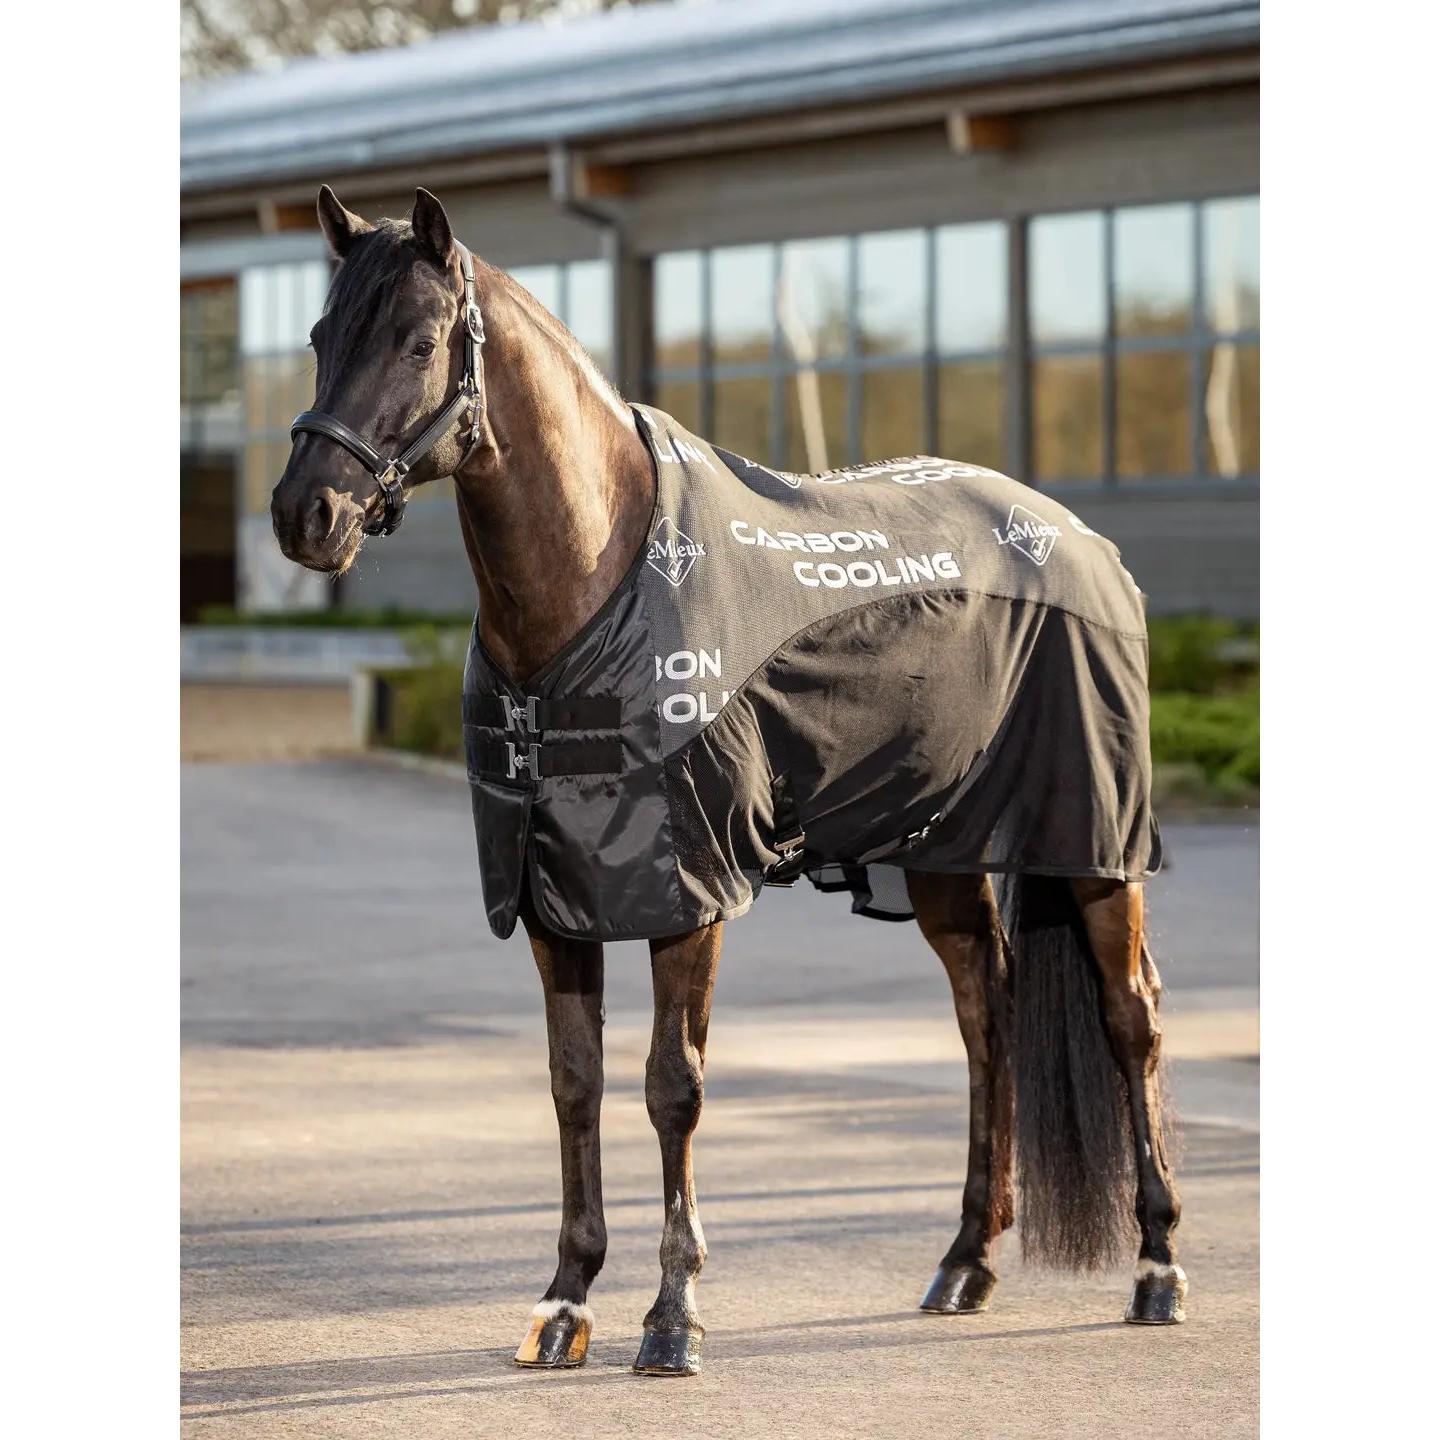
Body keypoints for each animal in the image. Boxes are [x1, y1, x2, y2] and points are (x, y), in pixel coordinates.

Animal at [271, 186, 1185, 1377]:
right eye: (320, 338)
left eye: (420, 343)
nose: (306, 517)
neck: (597, 583)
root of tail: (1081, 544)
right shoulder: (552, 892)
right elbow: (574, 1083)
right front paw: (565, 1303)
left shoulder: (686, 889)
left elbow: (674, 1085)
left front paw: (673, 1316)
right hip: (941, 851)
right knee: (987, 1013)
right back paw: (964, 1262)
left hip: (1093, 842)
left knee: (1132, 1019)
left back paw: (1157, 1269)